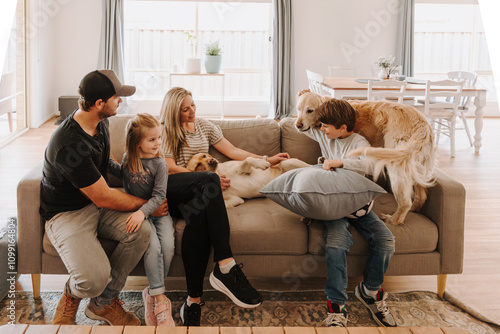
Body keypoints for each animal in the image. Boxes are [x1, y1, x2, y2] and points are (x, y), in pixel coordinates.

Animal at [294, 89, 436, 224]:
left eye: (310, 110)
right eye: (298, 109)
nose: (298, 125)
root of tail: (424, 126)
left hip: (395, 163)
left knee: (405, 202)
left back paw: (392, 220)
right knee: (421, 197)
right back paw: (413, 210)